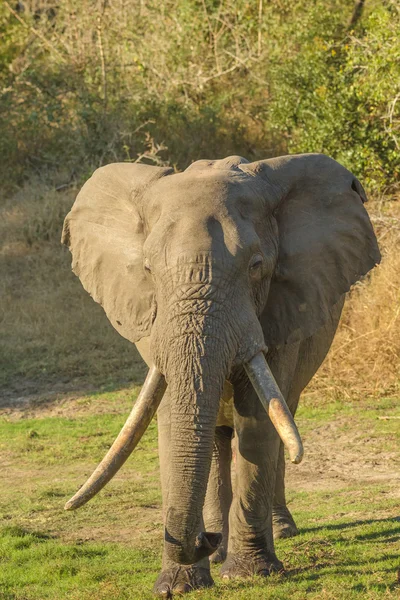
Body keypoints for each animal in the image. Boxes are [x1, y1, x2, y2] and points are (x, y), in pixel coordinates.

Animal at [61, 154, 380, 596]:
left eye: (257, 266)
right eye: (148, 269)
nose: (203, 539)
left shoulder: (279, 312)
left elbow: (258, 420)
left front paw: (248, 574)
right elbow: (170, 420)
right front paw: (178, 586)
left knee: (282, 416)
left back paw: (276, 531)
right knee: (215, 438)